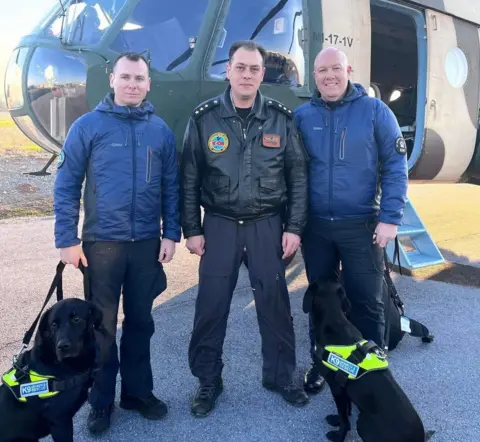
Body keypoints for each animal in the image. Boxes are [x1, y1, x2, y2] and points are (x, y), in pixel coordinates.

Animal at [302, 280, 434, 442]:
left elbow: (344, 417)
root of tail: (419, 438)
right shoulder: (344, 389)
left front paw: (339, 435)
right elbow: (345, 411)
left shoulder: (337, 387)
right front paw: (336, 420)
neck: (334, 320)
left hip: (364, 422)